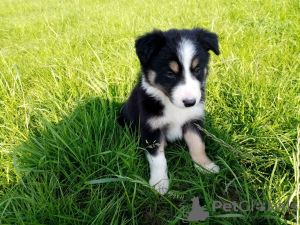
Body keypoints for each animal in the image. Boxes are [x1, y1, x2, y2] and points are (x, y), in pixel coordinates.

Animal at [118, 27, 219, 193]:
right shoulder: (151, 128)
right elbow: (158, 159)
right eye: (170, 73)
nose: (190, 102)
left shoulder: (193, 120)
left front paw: (206, 167)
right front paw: (159, 183)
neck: (172, 105)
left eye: (197, 70)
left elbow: (198, 145)